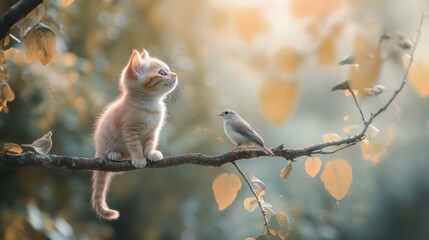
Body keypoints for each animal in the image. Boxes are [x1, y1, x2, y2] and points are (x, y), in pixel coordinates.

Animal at [90, 48, 177, 219]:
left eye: (169, 70)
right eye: (162, 73)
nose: (175, 75)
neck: (151, 105)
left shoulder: (153, 131)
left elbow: (150, 143)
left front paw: (151, 153)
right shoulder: (130, 130)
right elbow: (135, 146)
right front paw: (139, 159)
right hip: (105, 140)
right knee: (107, 152)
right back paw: (112, 154)